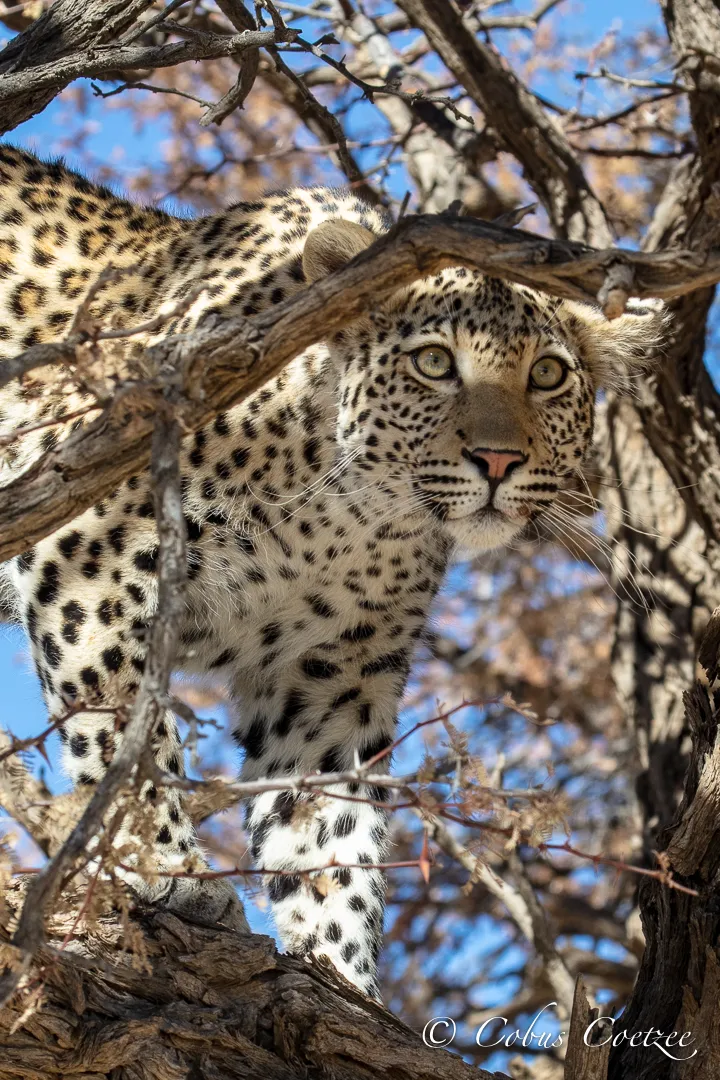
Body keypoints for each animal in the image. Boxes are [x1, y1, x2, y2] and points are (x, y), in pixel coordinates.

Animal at [0, 143, 662, 998]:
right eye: (433, 364)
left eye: (547, 376)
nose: (497, 460)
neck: (350, 515)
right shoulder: (90, 550)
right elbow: (124, 731)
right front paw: (165, 869)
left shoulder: (330, 677)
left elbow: (332, 830)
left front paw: (343, 973)